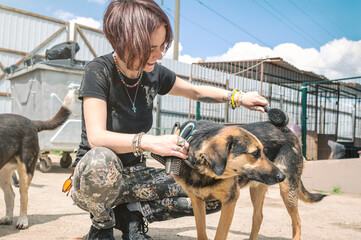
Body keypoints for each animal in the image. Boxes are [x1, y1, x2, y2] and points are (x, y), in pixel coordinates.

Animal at [0, 91, 74, 229]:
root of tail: (32, 122)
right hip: (4, 172)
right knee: (10, 195)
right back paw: (8, 218)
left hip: (26, 168)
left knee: (23, 196)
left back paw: (22, 221)